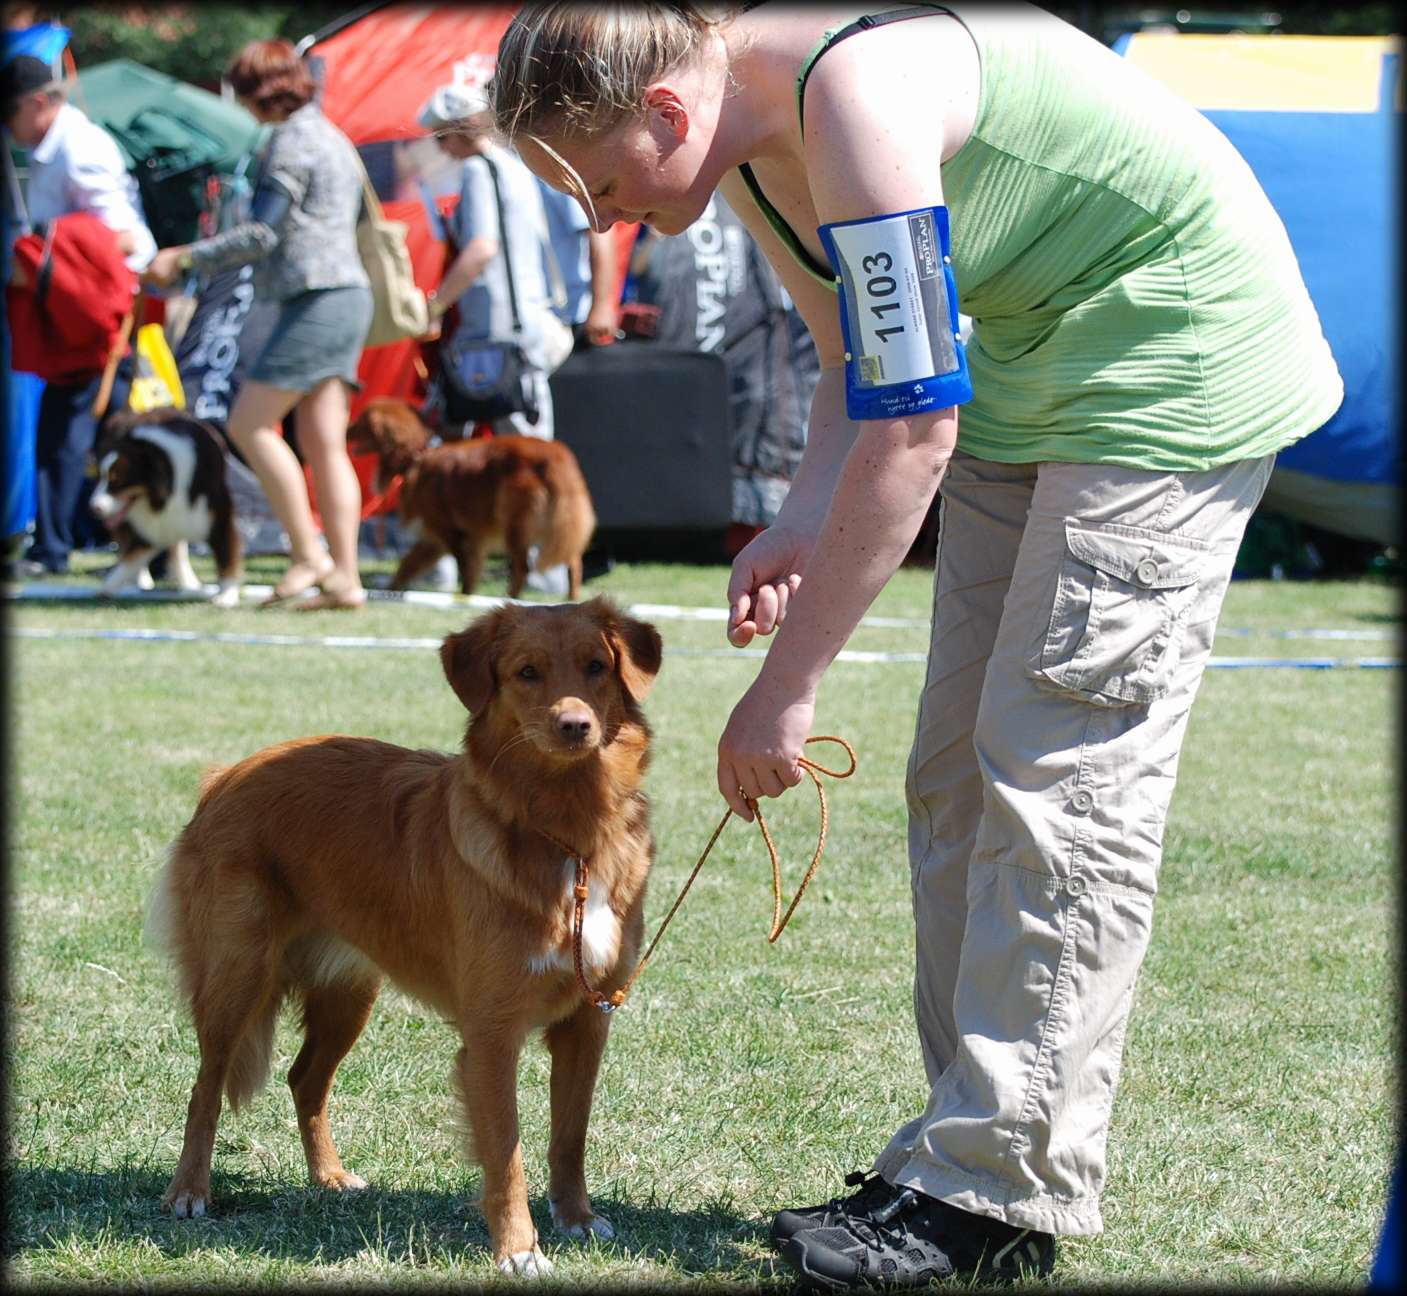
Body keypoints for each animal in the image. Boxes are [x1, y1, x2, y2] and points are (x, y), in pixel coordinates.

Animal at [87, 405, 243, 607]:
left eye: (118, 482)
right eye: (100, 477)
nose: (93, 508)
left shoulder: (219, 517)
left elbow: (226, 557)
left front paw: (227, 595)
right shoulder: (152, 527)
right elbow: (131, 557)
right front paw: (109, 586)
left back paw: (189, 585)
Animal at [148, 596, 664, 1272]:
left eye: (597, 667)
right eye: (527, 673)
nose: (575, 725)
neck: (569, 834)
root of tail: (226, 773)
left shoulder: (588, 1020)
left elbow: (569, 1134)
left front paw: (575, 1218)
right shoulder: (492, 1034)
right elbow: (507, 1154)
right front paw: (518, 1249)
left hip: (349, 993)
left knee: (305, 1079)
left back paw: (329, 1176)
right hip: (236, 975)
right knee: (206, 1085)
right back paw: (188, 1190)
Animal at [351, 396, 599, 599]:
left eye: (362, 421)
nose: (346, 428)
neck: (417, 457)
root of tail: (556, 456)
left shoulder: (454, 533)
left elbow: (467, 569)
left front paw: (465, 597)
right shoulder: (434, 538)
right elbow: (407, 564)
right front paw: (389, 589)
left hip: (514, 521)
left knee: (523, 567)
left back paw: (510, 598)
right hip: (560, 524)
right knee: (573, 562)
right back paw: (572, 599)